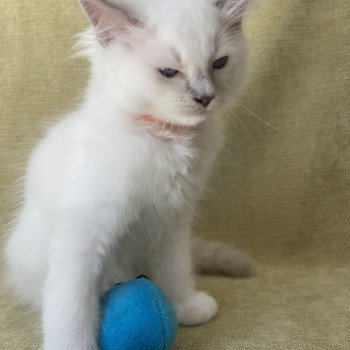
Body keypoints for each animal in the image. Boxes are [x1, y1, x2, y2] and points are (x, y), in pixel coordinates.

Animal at [4, 0, 252, 350]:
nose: (206, 97)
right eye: (169, 72)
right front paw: (74, 344)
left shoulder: (173, 222)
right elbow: (73, 305)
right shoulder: (83, 234)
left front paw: (186, 308)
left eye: (219, 63)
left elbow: (176, 269)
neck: (167, 139)